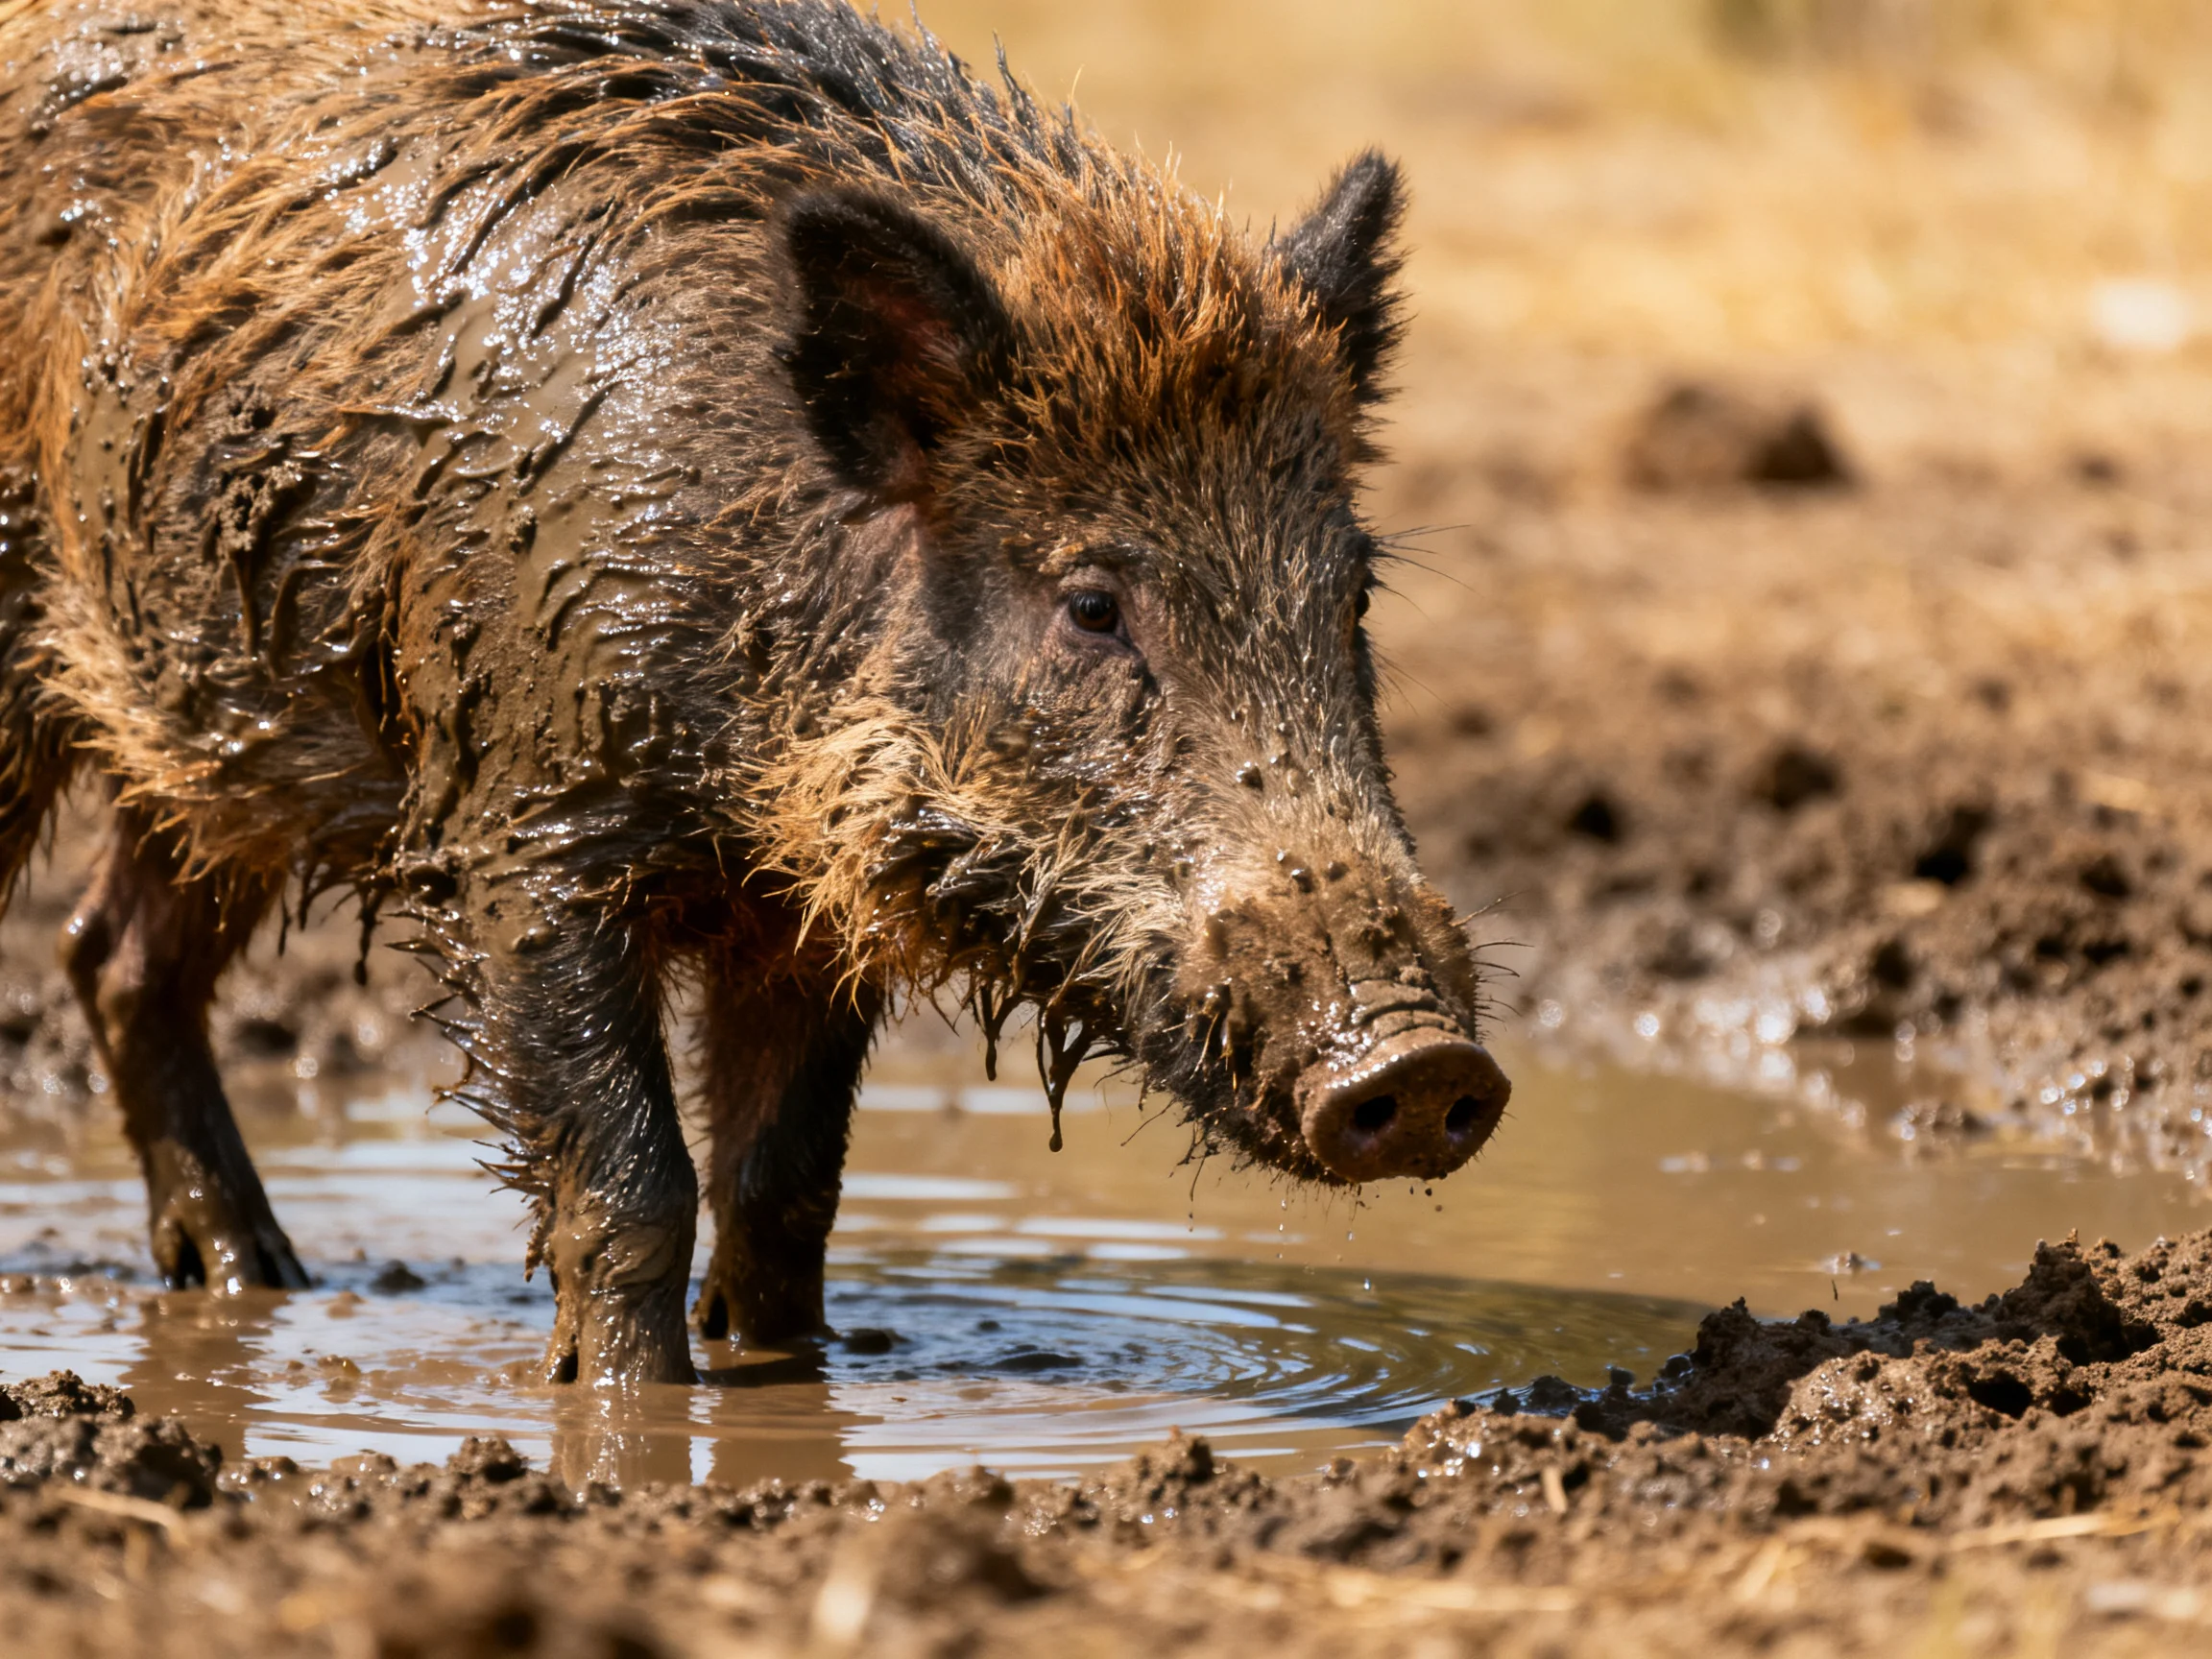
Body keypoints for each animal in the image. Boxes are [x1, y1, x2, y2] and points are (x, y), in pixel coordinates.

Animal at [0, 0, 1510, 1384]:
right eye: (1092, 604)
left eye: (1351, 593)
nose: (1424, 1062)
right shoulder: (520, 836)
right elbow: (633, 1188)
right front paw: (625, 1414)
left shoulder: (802, 910)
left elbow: (784, 1193)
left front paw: (788, 1378)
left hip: (208, 731)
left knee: (112, 952)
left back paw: (257, 1278)